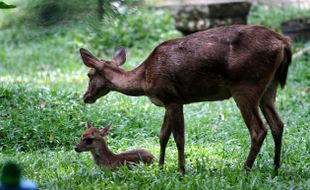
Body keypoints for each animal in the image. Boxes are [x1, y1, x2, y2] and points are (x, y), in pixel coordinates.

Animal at [78, 24, 292, 174]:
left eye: (89, 75)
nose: (86, 97)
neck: (145, 79)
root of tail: (283, 42)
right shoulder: (168, 101)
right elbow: (163, 136)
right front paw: (160, 168)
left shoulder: (173, 99)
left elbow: (179, 138)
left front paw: (181, 171)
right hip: (269, 88)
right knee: (278, 124)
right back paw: (276, 167)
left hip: (246, 86)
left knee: (259, 129)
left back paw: (244, 170)